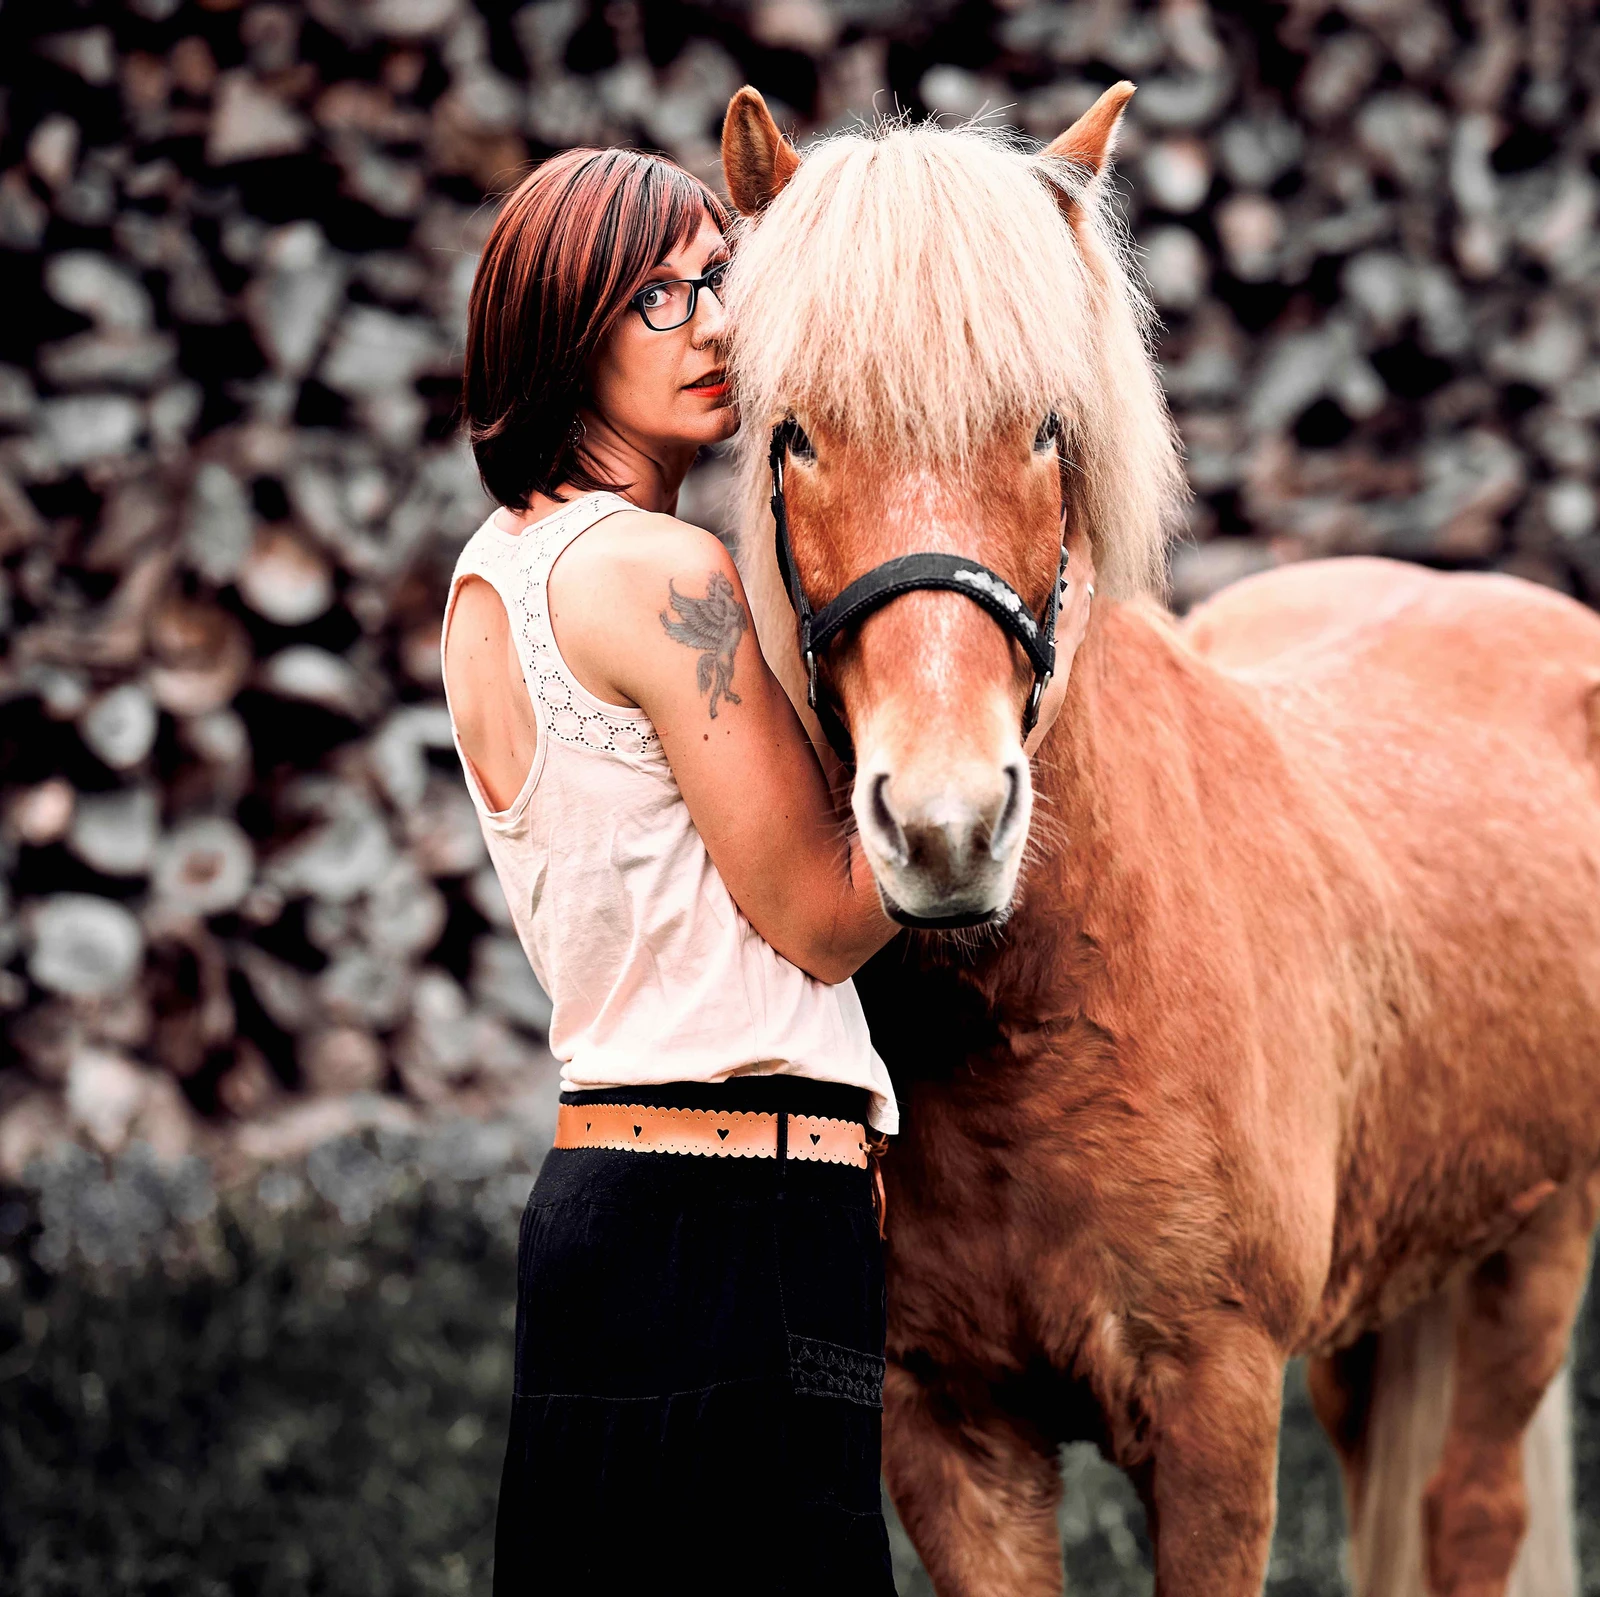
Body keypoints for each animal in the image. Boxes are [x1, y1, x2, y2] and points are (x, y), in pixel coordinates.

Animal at [718, 83, 1600, 1597]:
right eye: (796, 435)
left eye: (1044, 429)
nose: (947, 826)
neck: (1042, 1014)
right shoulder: (950, 1432)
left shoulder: (1214, 1412)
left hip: (1538, 1243)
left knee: (1469, 1511)